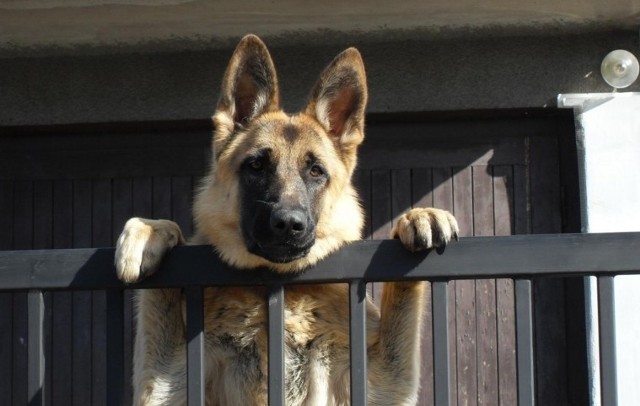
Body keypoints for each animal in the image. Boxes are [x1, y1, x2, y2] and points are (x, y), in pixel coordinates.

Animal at [114, 33, 456, 404]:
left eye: (316, 171)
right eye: (257, 165)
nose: (289, 225)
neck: (283, 294)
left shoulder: (382, 384)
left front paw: (419, 216)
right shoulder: (165, 384)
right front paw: (149, 232)